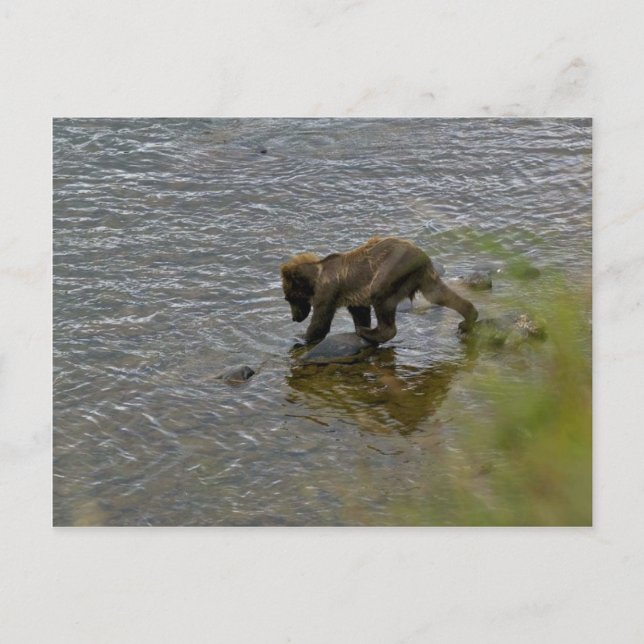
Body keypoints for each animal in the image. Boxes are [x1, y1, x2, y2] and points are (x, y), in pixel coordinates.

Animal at [280, 236, 478, 344]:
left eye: (289, 298)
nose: (294, 318)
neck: (315, 279)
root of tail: (422, 257)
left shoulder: (327, 291)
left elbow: (321, 321)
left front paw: (301, 336)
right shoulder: (353, 296)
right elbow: (360, 312)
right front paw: (361, 324)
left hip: (392, 268)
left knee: (381, 295)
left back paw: (370, 332)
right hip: (422, 277)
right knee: (438, 294)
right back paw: (468, 318)